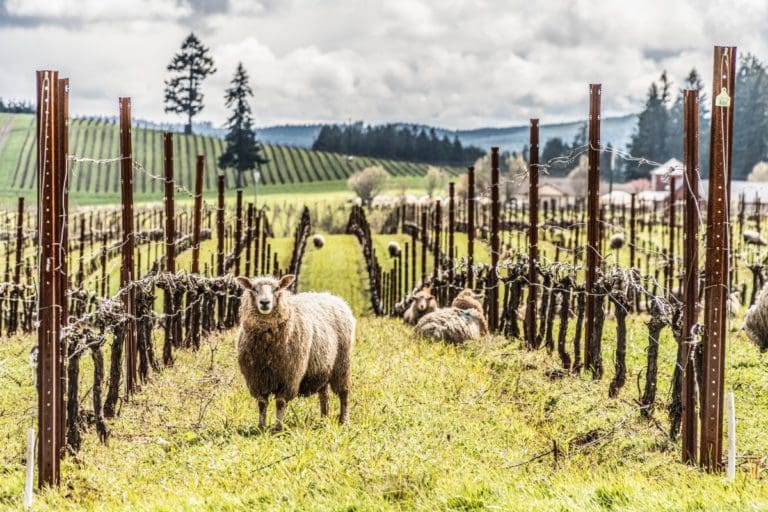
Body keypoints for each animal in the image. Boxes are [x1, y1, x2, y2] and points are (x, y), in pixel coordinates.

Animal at [236, 274, 356, 431]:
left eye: (277, 289)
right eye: (254, 289)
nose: (265, 302)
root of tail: (332, 297)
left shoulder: (289, 375)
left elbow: (280, 402)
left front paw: (278, 428)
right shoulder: (257, 378)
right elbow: (262, 403)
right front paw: (261, 427)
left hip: (342, 363)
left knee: (344, 393)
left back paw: (344, 421)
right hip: (322, 366)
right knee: (324, 395)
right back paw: (324, 418)